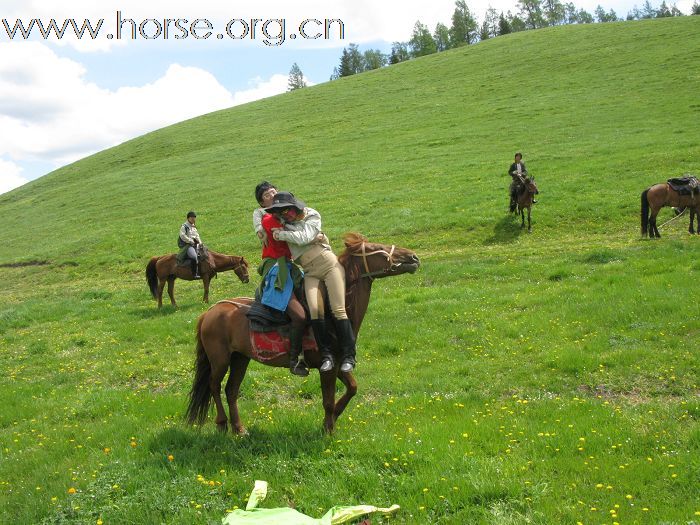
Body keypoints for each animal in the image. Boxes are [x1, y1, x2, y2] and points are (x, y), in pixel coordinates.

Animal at [183, 233, 418, 434]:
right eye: (377, 249)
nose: (413, 257)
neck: (333, 315)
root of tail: (209, 312)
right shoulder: (327, 367)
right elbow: (328, 400)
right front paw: (328, 429)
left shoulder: (339, 363)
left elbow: (352, 387)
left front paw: (334, 417)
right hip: (220, 360)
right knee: (214, 386)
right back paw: (222, 424)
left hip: (240, 358)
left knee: (231, 390)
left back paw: (239, 429)